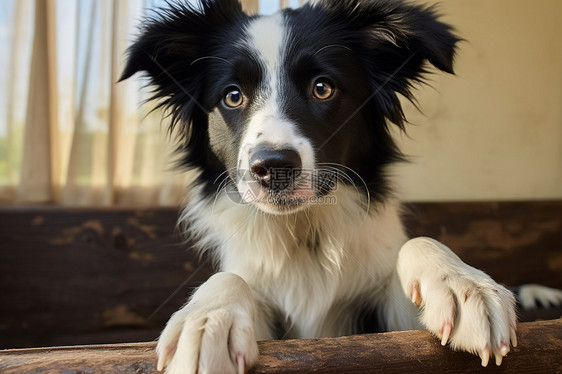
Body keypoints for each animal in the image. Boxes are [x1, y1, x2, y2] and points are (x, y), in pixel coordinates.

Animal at [120, 1, 556, 372]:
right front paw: (206, 323)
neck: (301, 234)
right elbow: (231, 278)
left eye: (322, 87)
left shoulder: (380, 320)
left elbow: (417, 243)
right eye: (232, 96)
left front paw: (464, 285)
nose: (273, 168)